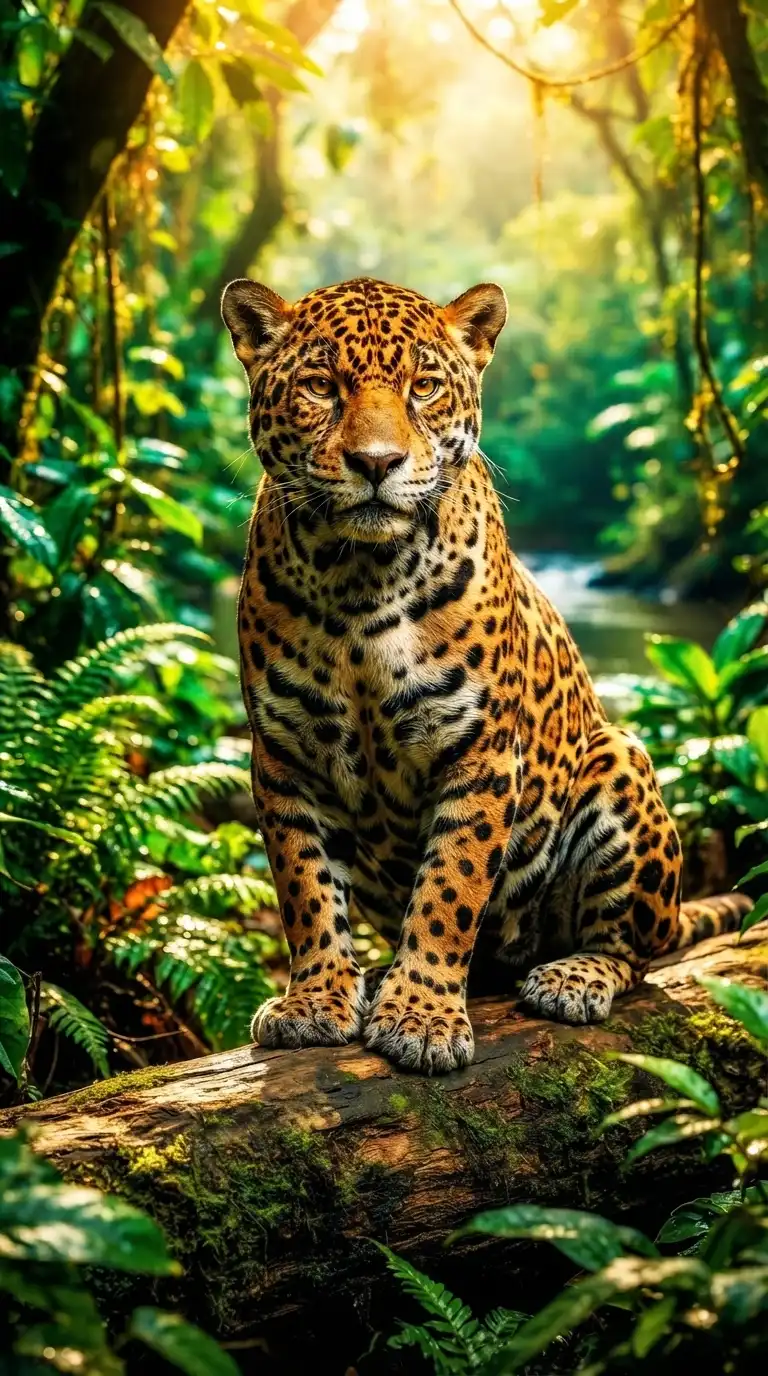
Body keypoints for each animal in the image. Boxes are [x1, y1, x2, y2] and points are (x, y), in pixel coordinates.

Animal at [221, 273, 750, 1075]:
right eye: (320, 387)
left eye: (424, 387)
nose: (376, 463)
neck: (359, 581)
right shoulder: (285, 756)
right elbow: (305, 888)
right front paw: (316, 998)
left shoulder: (479, 749)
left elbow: (450, 885)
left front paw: (422, 1015)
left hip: (620, 764)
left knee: (634, 952)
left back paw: (570, 977)